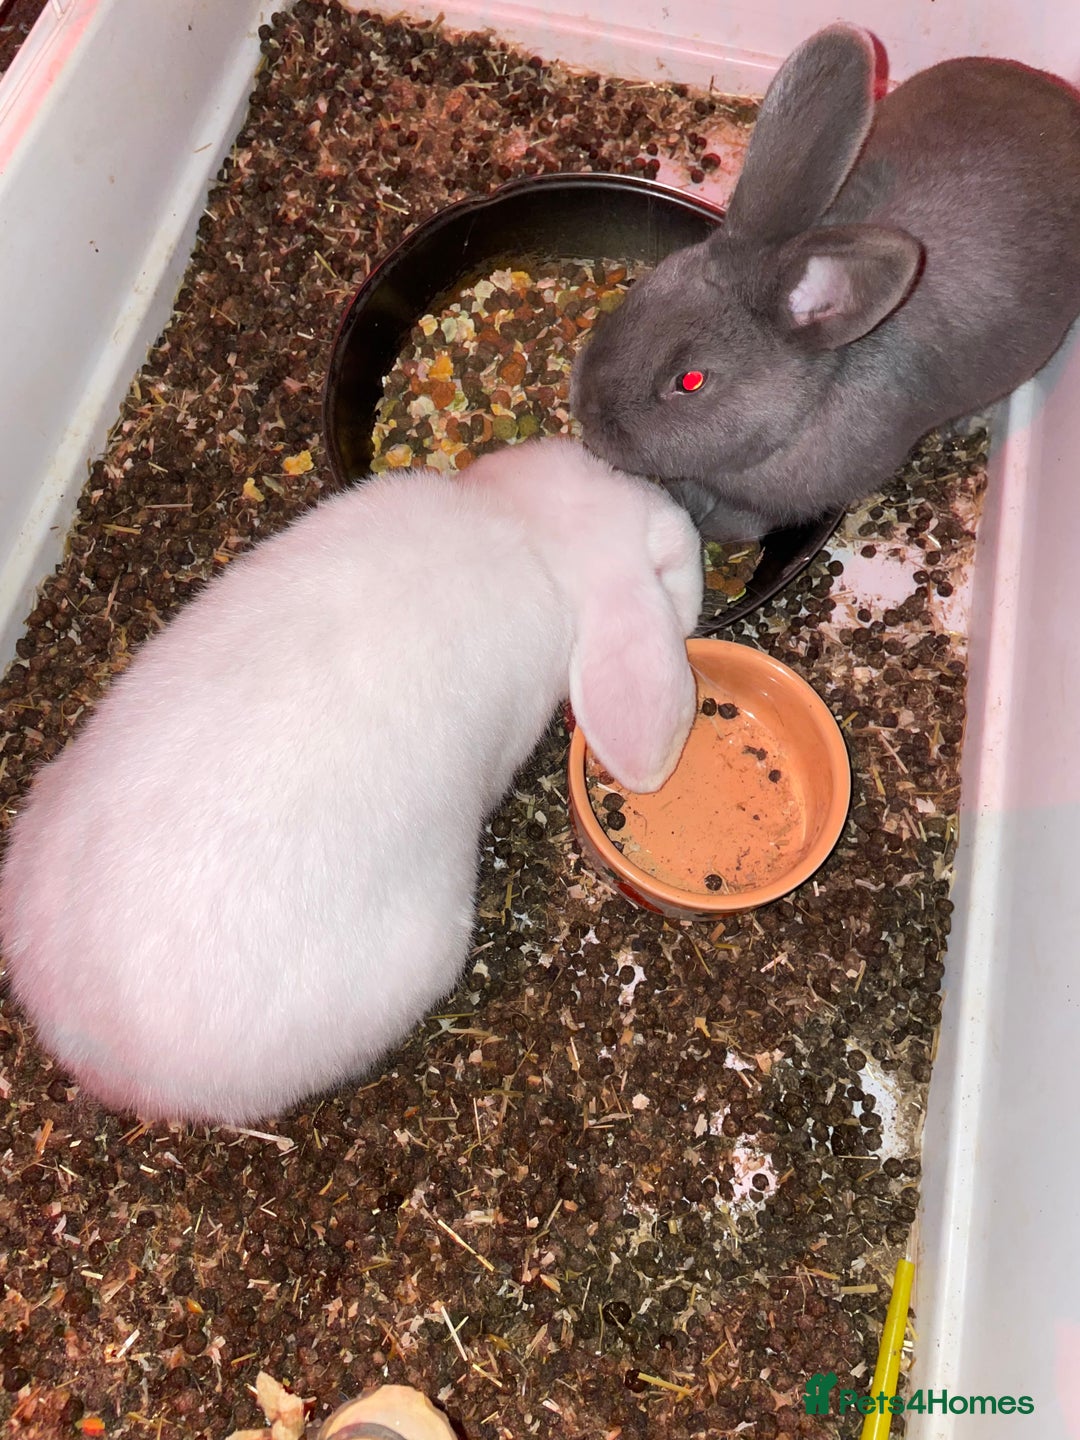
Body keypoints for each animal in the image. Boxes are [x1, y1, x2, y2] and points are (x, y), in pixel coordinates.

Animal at [570, 23, 1080, 541]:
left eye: (690, 381)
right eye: (639, 291)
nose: (586, 411)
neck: (800, 412)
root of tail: (1063, 98)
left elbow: (744, 519)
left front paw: (715, 530)